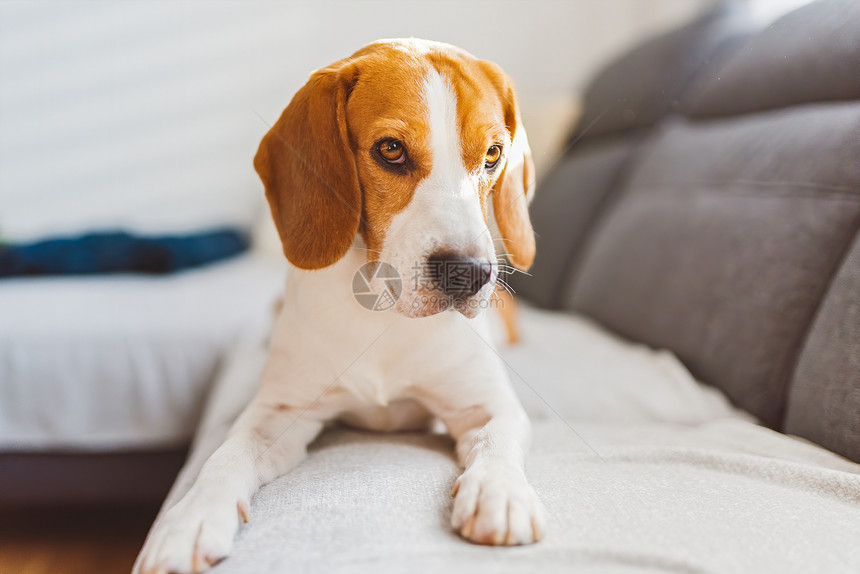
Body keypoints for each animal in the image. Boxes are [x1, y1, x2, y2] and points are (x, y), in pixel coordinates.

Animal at [139, 38, 544, 572]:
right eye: (390, 149)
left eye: (494, 154)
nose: (470, 273)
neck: (385, 310)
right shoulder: (279, 412)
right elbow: (225, 456)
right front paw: (189, 520)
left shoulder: (487, 406)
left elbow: (499, 439)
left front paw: (502, 494)